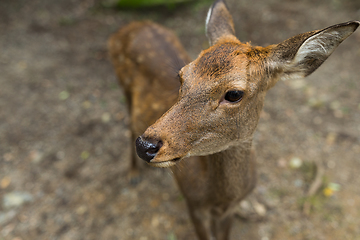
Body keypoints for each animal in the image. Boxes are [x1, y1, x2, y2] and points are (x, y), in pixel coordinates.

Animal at [107, 0, 358, 239]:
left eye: (234, 94)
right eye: (182, 76)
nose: (146, 145)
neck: (220, 198)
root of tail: (130, 25)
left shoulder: (229, 210)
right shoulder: (192, 204)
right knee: (129, 123)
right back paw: (132, 174)